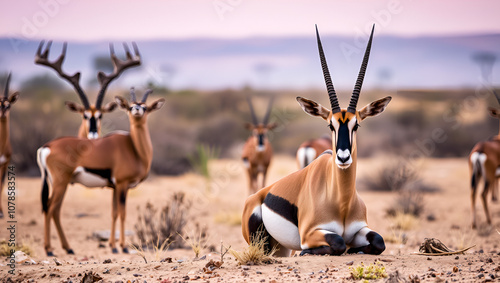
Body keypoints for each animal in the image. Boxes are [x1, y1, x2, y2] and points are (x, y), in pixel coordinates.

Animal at [36, 87, 164, 256]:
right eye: (130, 107)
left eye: (145, 107)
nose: (137, 109)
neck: (134, 148)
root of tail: (46, 147)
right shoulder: (122, 185)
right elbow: (123, 213)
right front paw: (122, 247)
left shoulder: (115, 188)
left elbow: (114, 213)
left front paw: (113, 246)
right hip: (60, 183)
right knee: (49, 208)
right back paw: (49, 250)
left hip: (61, 185)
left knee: (55, 210)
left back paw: (68, 248)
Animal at [240, 25, 388, 258]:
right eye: (330, 125)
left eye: (356, 125)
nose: (343, 158)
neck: (341, 201)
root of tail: (257, 197)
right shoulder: (309, 233)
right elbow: (338, 242)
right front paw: (309, 252)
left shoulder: (361, 229)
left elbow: (379, 241)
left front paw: (358, 249)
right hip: (262, 241)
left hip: (281, 248)